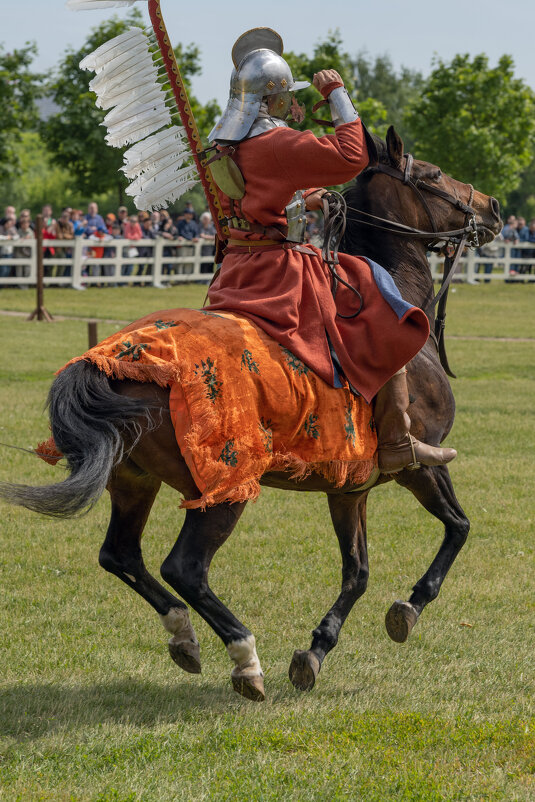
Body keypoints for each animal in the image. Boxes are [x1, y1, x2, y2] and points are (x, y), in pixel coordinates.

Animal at [0, 126, 502, 700]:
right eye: (434, 174)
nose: (492, 207)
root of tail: (112, 357)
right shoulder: (422, 466)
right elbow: (458, 527)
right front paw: (408, 608)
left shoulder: (349, 487)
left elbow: (357, 571)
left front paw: (316, 650)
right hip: (224, 487)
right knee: (185, 568)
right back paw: (244, 658)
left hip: (132, 479)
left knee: (120, 555)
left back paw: (183, 635)